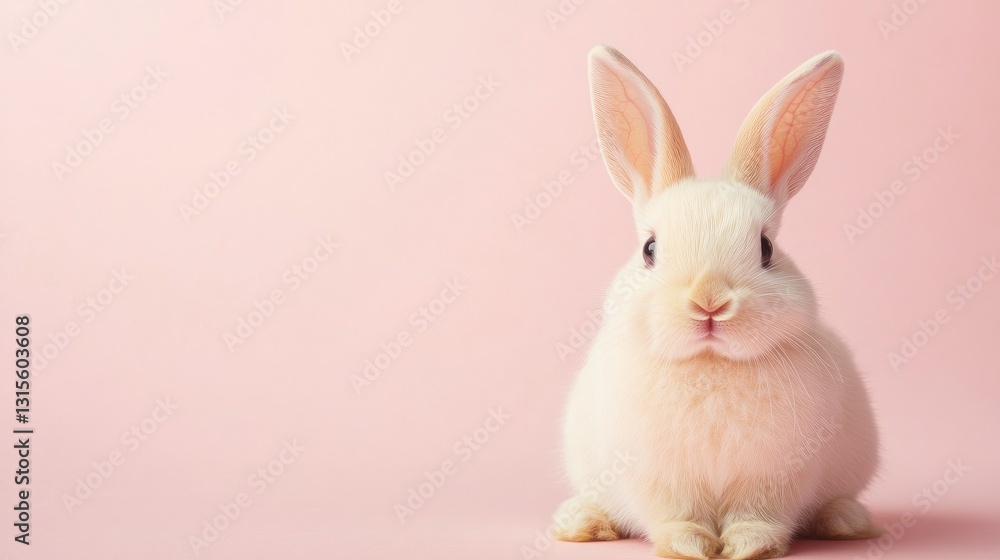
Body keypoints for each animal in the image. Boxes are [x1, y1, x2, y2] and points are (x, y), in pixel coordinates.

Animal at [551, 46, 880, 560]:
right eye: (649, 249)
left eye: (766, 248)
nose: (708, 301)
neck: (711, 364)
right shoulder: (658, 478)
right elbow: (676, 514)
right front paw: (689, 545)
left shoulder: (775, 477)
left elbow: (757, 515)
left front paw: (748, 546)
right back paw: (580, 523)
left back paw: (846, 520)